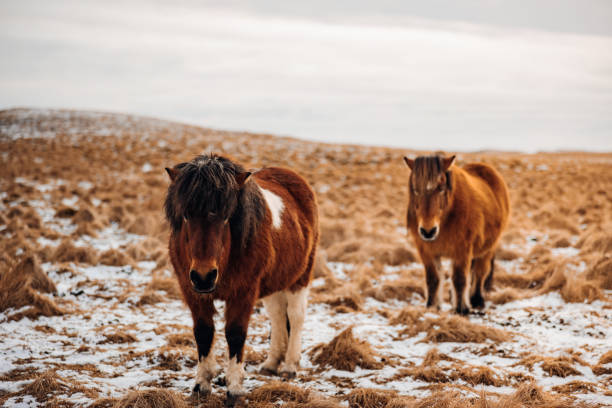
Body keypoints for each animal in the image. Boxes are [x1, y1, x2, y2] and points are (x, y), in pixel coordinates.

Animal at [165, 154, 318, 402]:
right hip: (274, 284)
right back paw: (271, 363)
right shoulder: (193, 292)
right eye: (186, 215)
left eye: (226, 217)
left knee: (295, 318)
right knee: (277, 317)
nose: (204, 276)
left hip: (299, 278)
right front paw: (201, 384)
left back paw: (289, 367)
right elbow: (203, 333)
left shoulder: (243, 293)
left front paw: (234, 388)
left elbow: (235, 334)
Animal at [404, 155, 510, 314]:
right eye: (415, 190)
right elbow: (433, 279)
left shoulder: (462, 250)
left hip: (487, 249)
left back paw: (476, 300)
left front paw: (462, 309)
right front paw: (432, 306)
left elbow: (460, 279)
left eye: (441, 188)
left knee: (480, 272)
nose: (428, 231)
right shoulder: (427, 251)